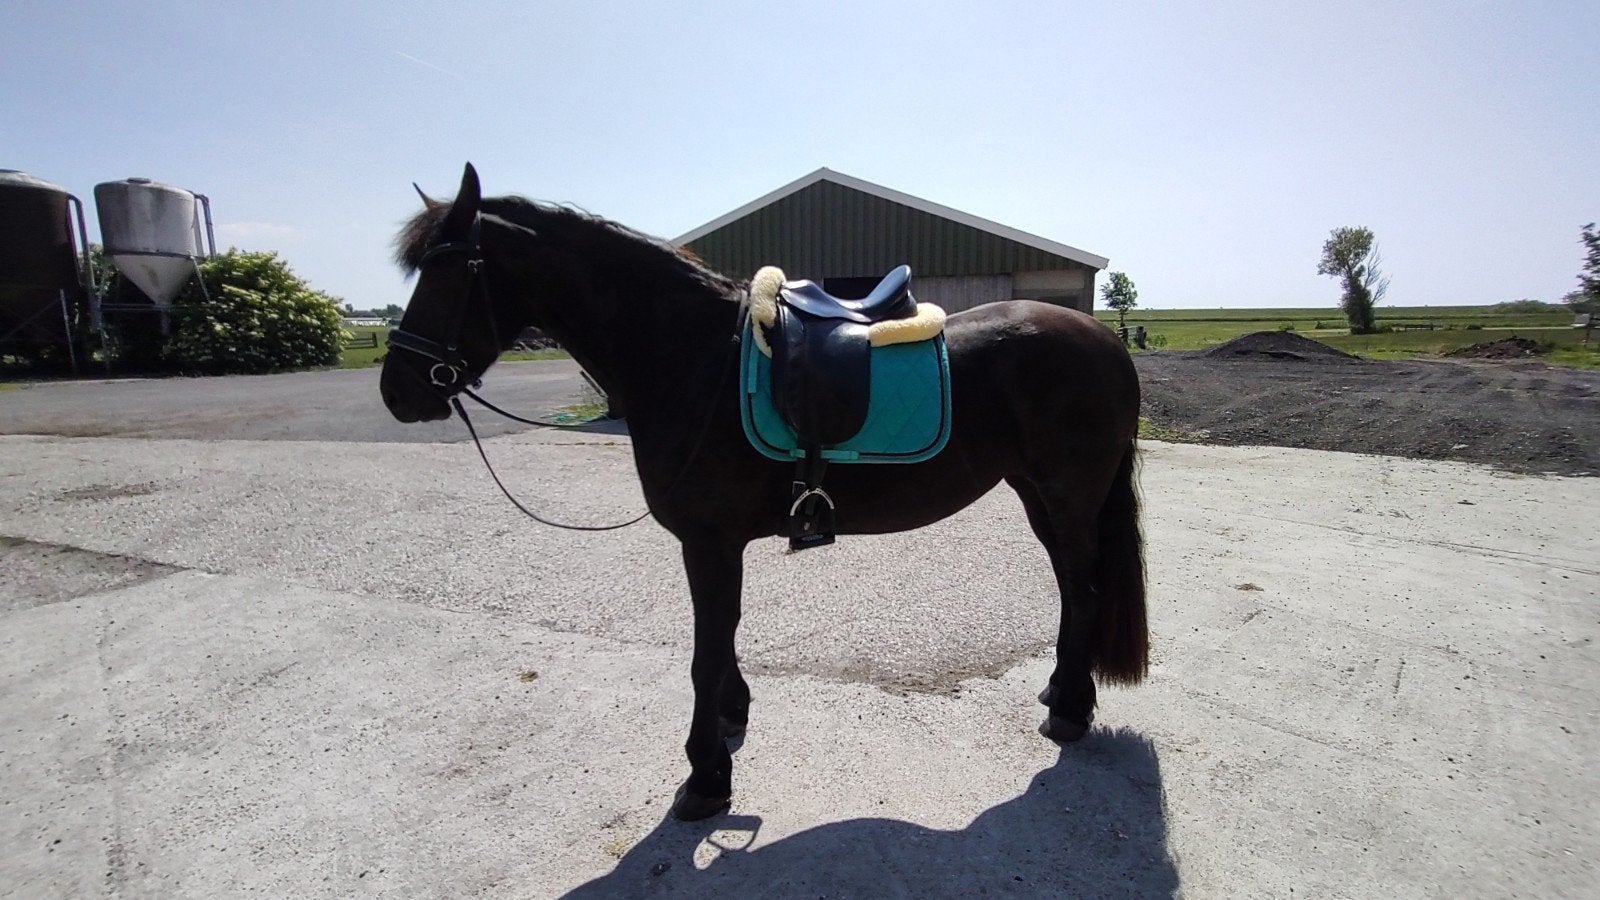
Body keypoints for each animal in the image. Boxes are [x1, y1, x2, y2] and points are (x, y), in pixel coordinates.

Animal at [380, 164, 1148, 821]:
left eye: (447, 271)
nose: (398, 392)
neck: (690, 359)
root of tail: (1103, 339)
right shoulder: (716, 545)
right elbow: (722, 638)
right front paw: (731, 717)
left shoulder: (708, 542)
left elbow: (705, 649)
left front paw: (705, 778)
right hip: (1038, 495)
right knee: (1070, 586)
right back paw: (1059, 689)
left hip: (1067, 497)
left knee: (1082, 588)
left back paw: (1071, 712)